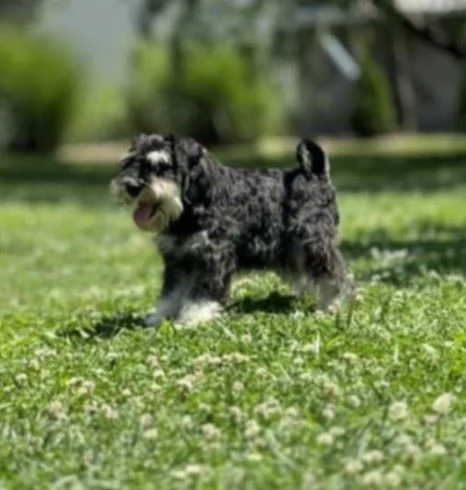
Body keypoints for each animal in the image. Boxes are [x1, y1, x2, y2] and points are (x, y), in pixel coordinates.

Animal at [111, 132, 352, 328]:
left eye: (162, 165)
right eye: (128, 162)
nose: (131, 186)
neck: (194, 201)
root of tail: (317, 176)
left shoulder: (213, 256)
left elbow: (202, 292)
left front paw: (193, 317)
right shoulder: (178, 260)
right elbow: (171, 293)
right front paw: (160, 316)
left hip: (314, 243)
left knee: (336, 274)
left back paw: (333, 303)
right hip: (294, 250)